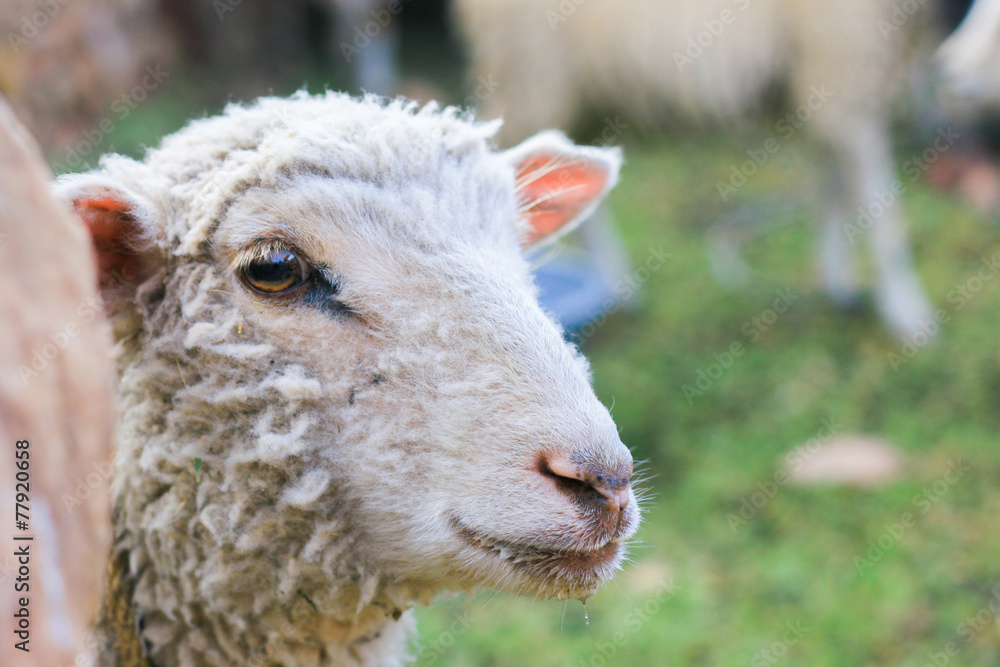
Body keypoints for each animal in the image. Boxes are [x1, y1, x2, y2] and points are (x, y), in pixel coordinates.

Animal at [452, 0, 938, 339]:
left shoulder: (827, 80)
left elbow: (835, 183)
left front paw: (838, 281)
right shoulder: (843, 60)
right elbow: (882, 213)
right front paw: (910, 315)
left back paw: (620, 290)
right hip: (530, 69)